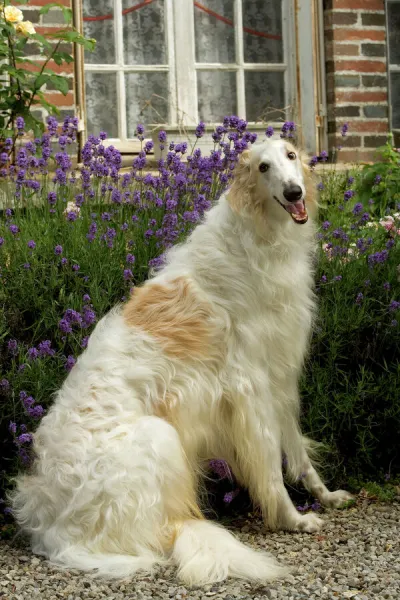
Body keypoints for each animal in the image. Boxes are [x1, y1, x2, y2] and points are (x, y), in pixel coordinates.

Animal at [10, 139, 352, 584]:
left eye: (291, 155)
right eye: (263, 167)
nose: (295, 193)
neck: (254, 239)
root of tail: (53, 532)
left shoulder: (280, 377)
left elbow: (299, 457)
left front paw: (326, 496)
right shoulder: (251, 388)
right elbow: (270, 471)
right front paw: (292, 519)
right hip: (160, 435)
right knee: (166, 531)